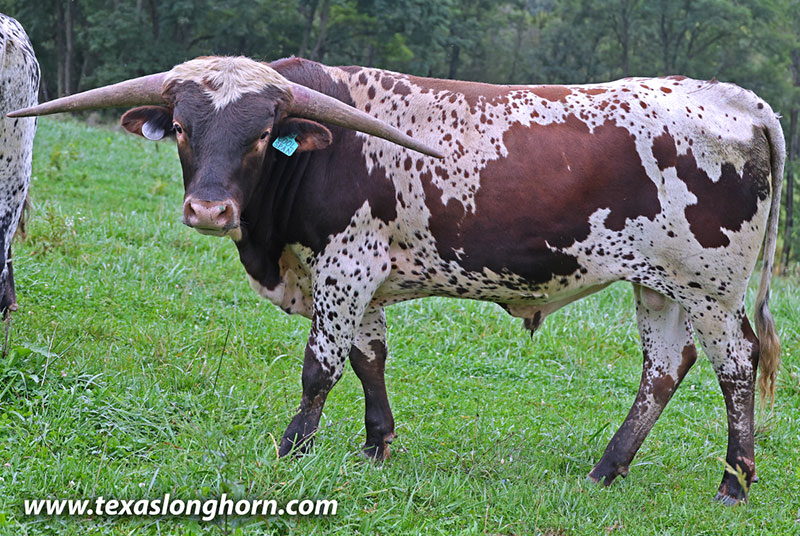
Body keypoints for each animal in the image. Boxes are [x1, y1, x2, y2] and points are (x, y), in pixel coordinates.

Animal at [10, 55, 784, 505]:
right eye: (180, 127)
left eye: (262, 133)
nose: (207, 210)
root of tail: (738, 98)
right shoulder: (362, 280)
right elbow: (368, 358)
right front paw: (376, 446)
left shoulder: (345, 269)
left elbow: (319, 367)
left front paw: (292, 450)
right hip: (660, 284)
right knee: (664, 368)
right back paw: (606, 470)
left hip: (712, 288)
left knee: (735, 365)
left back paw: (733, 483)